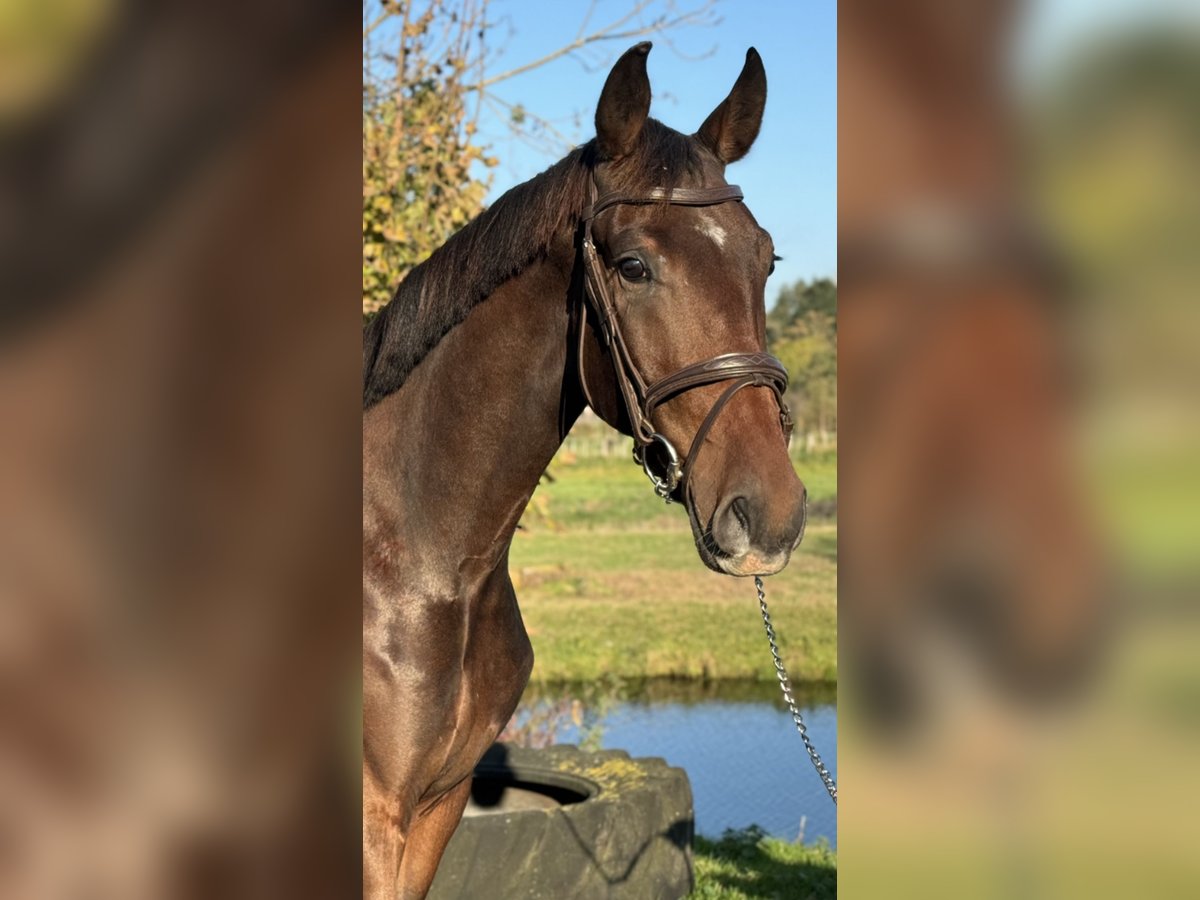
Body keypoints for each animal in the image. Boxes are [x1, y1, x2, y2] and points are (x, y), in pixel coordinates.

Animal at [360, 42, 801, 900]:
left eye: (767, 259)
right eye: (632, 266)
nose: (771, 514)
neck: (426, 563)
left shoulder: (437, 805)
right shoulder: (376, 815)